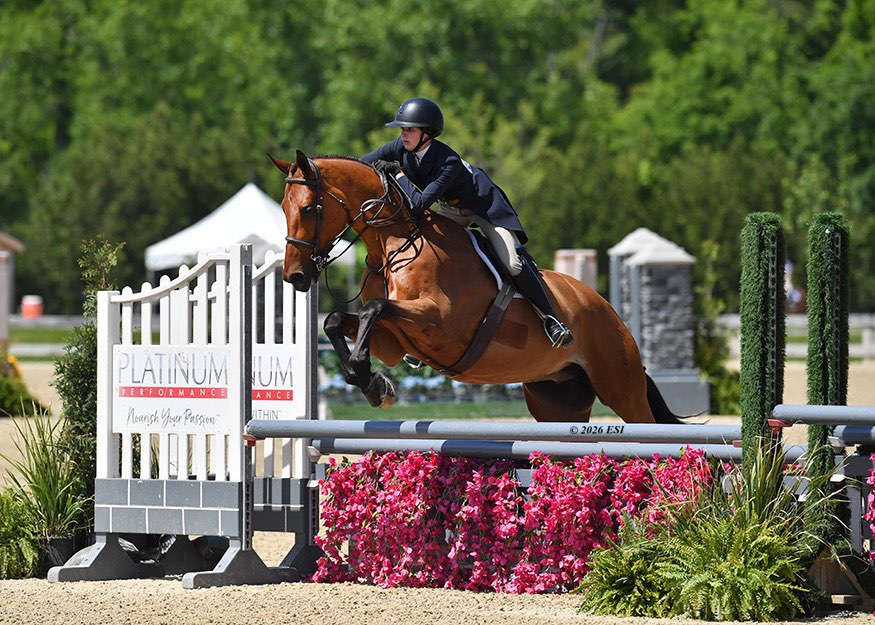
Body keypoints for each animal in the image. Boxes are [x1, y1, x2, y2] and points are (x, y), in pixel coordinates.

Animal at [270, 150, 684, 424]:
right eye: (283, 208)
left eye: (308, 209)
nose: (295, 277)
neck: (394, 242)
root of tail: (608, 311)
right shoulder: (393, 340)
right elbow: (336, 321)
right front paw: (372, 383)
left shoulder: (439, 323)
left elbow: (374, 309)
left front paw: (368, 378)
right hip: (557, 401)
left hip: (622, 390)